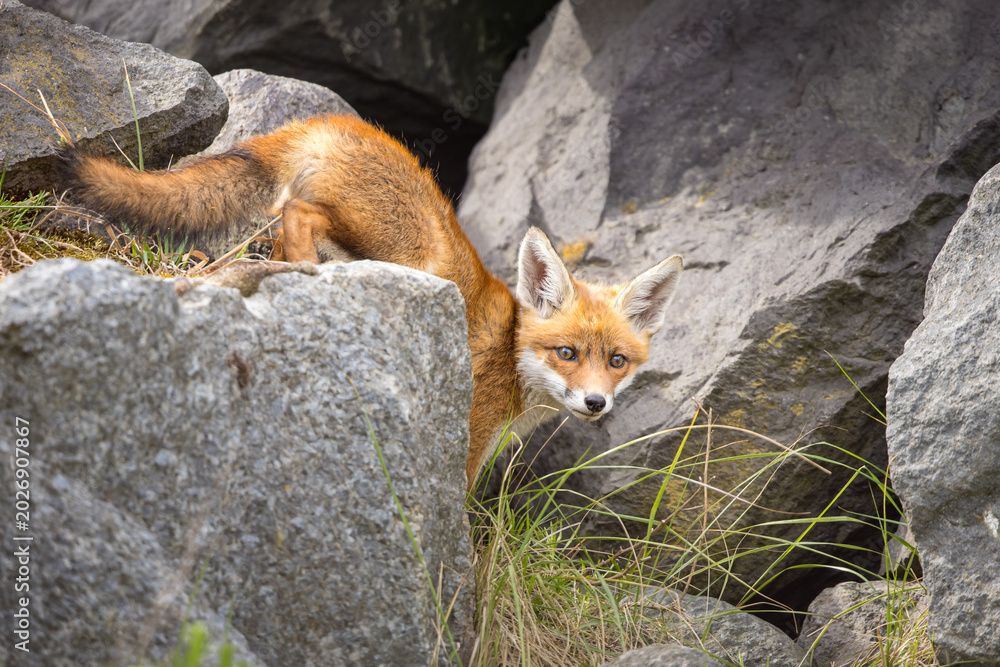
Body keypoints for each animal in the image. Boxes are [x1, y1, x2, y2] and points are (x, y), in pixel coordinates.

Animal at [55, 114, 683, 490]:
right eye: (567, 353)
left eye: (617, 361)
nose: (596, 404)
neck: (510, 359)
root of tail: (329, 122)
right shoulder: (466, 447)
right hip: (408, 248)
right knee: (297, 214)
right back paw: (303, 269)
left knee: (283, 221)